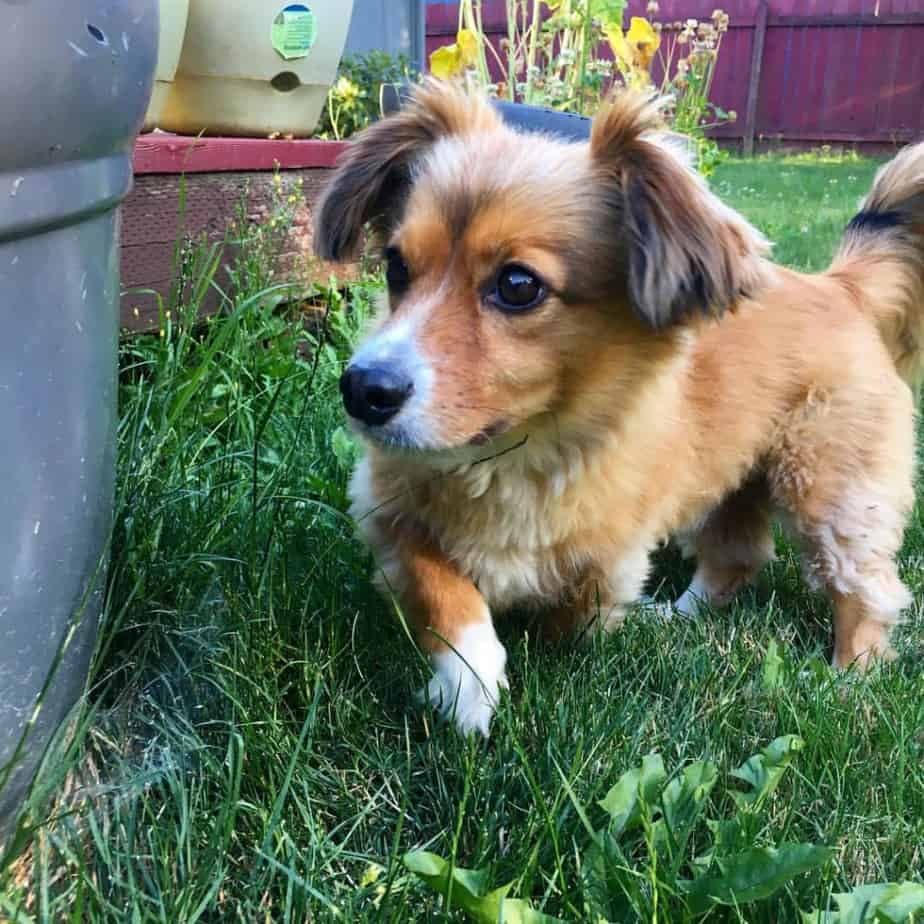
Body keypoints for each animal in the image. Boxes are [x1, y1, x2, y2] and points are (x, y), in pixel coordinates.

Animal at [312, 83, 924, 732]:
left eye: (518, 285)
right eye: (396, 266)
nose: (362, 389)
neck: (513, 452)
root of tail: (839, 286)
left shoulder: (611, 561)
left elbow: (570, 622)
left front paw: (520, 657)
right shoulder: (389, 514)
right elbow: (445, 592)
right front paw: (469, 685)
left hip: (833, 492)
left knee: (866, 585)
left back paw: (850, 673)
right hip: (726, 480)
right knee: (736, 557)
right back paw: (676, 617)